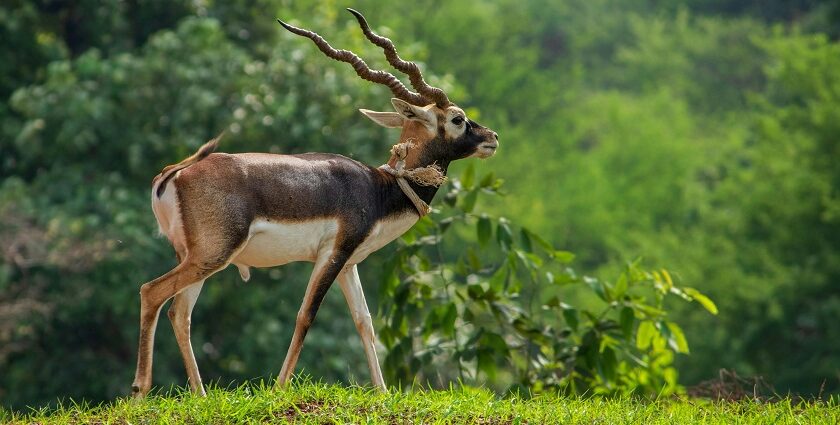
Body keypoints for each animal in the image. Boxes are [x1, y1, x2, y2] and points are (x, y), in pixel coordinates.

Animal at [131, 8, 498, 396]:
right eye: (457, 118)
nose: (492, 137)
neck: (380, 188)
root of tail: (175, 174)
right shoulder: (331, 254)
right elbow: (306, 315)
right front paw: (279, 389)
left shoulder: (349, 264)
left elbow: (364, 322)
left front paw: (382, 393)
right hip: (213, 254)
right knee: (151, 292)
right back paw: (139, 391)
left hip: (196, 257)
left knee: (179, 312)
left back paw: (200, 396)